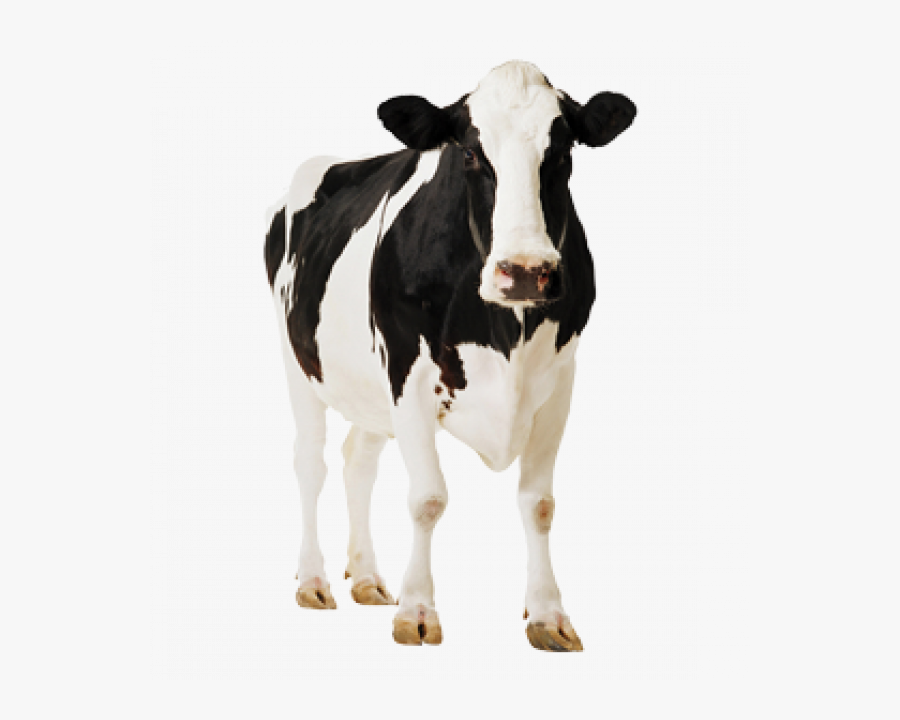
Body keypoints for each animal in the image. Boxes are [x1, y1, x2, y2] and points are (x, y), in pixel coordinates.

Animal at [264, 61, 636, 652]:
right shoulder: (407, 373)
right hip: (297, 359)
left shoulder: (560, 380)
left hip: (369, 388)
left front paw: (548, 614)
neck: (505, 329)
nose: (525, 271)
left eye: (562, 152)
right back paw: (313, 580)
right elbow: (428, 498)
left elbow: (539, 503)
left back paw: (365, 577)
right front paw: (417, 610)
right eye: (469, 154)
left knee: (357, 460)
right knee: (310, 462)